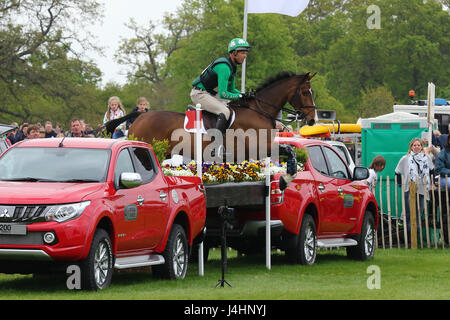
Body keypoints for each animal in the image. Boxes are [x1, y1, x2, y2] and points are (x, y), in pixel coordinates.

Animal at [105, 70, 316, 160]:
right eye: (306, 92)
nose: (313, 119)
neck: (258, 111)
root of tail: (140, 116)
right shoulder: (258, 147)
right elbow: (288, 150)